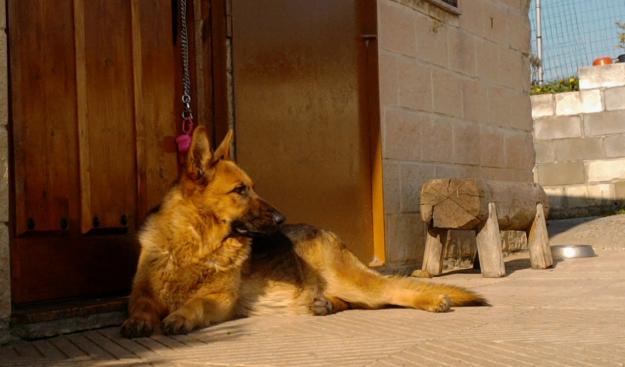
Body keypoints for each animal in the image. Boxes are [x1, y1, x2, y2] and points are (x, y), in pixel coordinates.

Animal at [119, 128, 486, 338]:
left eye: (252, 187)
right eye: (240, 190)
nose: (282, 218)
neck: (194, 244)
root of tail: (328, 232)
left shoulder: (220, 301)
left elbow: (194, 304)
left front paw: (180, 316)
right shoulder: (141, 293)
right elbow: (140, 305)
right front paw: (139, 321)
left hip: (356, 282)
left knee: (392, 292)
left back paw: (435, 299)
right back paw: (324, 305)